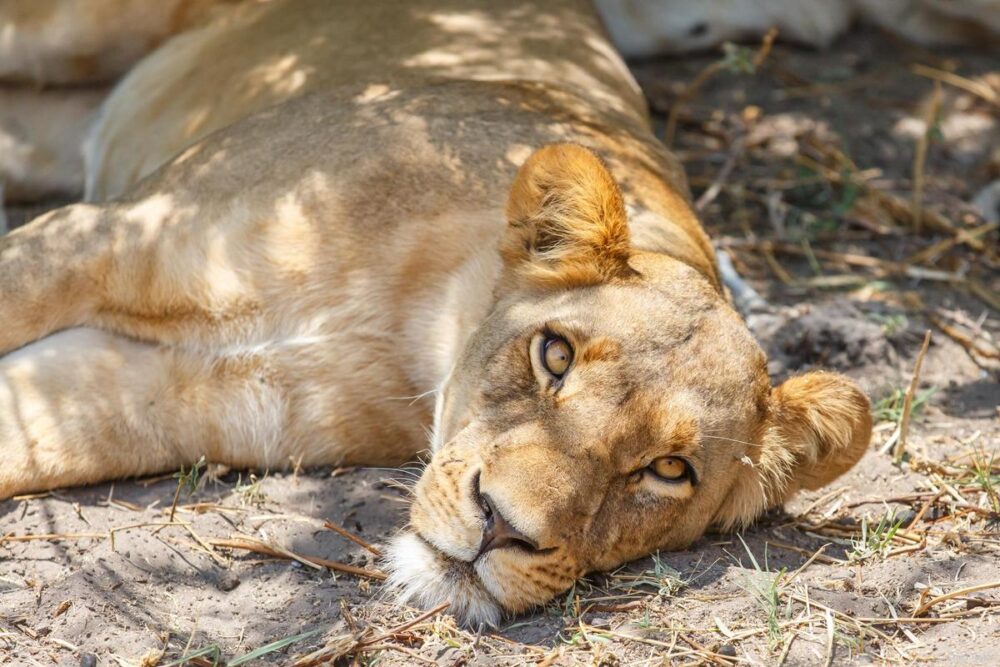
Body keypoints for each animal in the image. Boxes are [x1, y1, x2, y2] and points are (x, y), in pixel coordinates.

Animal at [0, 0, 872, 625]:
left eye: (668, 470)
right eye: (554, 355)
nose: (501, 526)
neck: (408, 316)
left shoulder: (154, 395)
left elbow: (26, 437)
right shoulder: (114, 234)